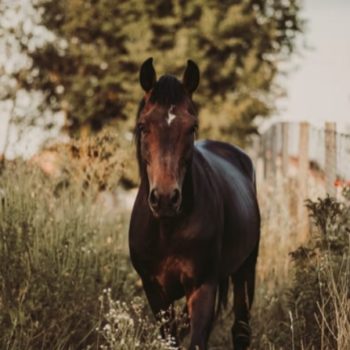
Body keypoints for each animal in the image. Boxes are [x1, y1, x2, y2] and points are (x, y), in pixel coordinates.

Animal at [129, 58, 260, 348]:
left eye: (192, 127)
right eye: (143, 126)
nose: (165, 199)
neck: (168, 229)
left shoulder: (203, 288)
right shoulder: (155, 291)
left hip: (245, 270)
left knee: (241, 329)